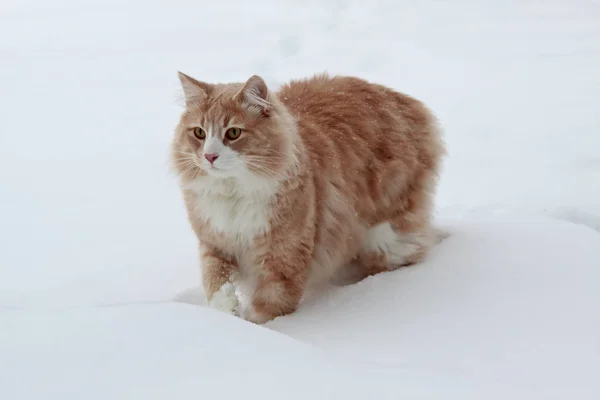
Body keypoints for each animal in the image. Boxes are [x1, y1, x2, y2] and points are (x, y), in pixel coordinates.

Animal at [172, 71, 446, 322]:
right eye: (199, 133)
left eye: (233, 133)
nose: (210, 156)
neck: (233, 193)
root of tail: (407, 102)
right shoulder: (216, 244)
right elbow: (217, 285)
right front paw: (225, 318)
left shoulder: (283, 261)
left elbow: (268, 310)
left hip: (387, 238)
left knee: (409, 251)